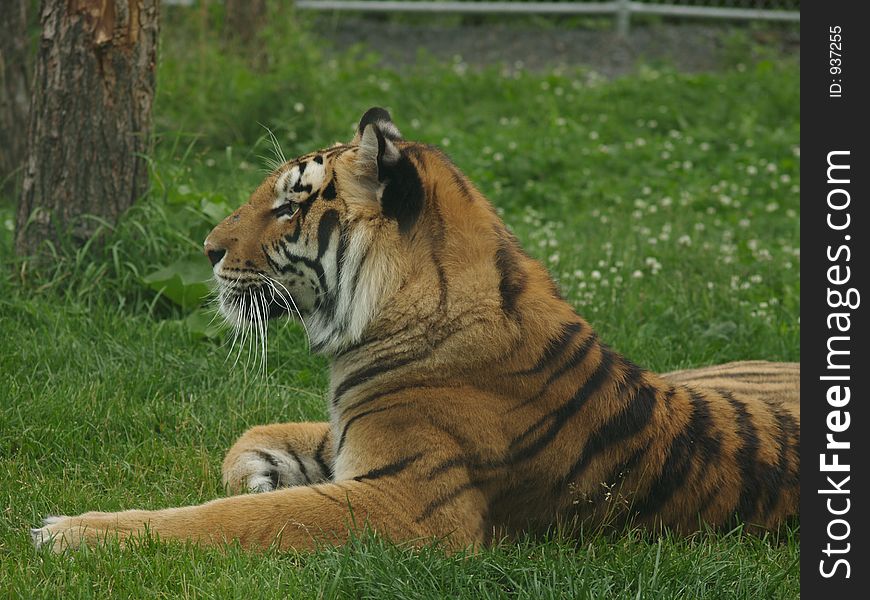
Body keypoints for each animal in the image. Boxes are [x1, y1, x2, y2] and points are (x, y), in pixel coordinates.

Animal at [34, 108, 800, 552]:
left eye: (289, 206)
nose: (207, 250)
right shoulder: (352, 435)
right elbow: (251, 437)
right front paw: (258, 477)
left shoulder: (408, 501)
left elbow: (225, 521)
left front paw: (67, 532)